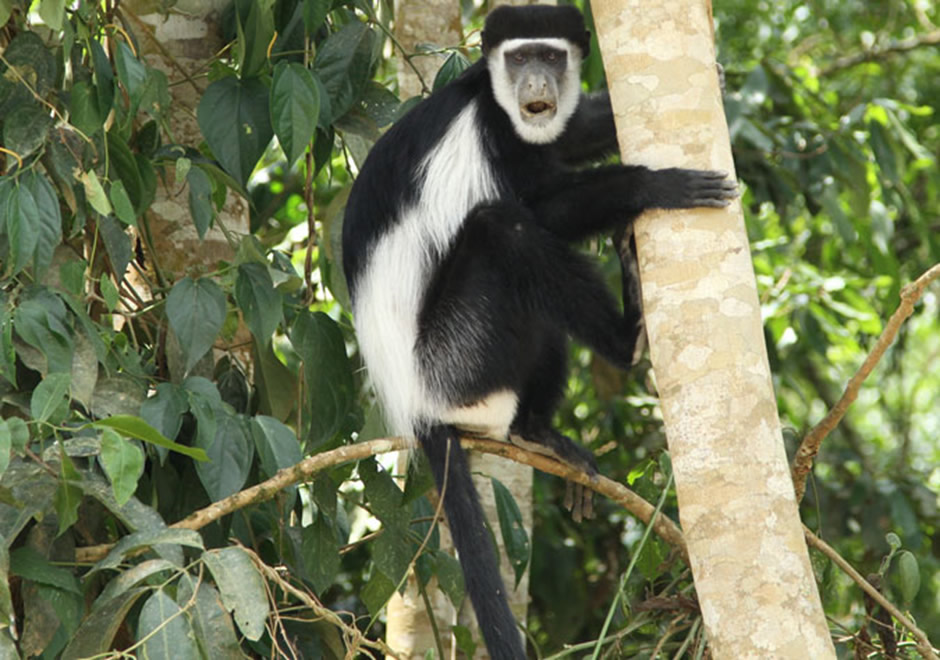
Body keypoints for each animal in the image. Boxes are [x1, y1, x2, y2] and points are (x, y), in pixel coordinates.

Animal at [342, 5, 740, 660]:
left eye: (551, 57)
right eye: (520, 57)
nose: (536, 84)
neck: (493, 102)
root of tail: (416, 404)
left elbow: (569, 134)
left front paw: (716, 67)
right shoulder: (493, 138)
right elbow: (540, 207)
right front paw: (654, 185)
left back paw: (539, 431)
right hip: (457, 357)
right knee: (505, 228)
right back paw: (624, 340)